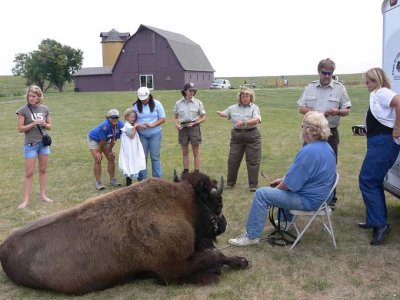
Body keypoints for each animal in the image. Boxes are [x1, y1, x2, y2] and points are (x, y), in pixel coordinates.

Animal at [0, 172, 248, 294]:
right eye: (218, 202)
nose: (224, 224)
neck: (183, 204)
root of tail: (3, 248)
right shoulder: (171, 270)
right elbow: (213, 256)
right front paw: (234, 264)